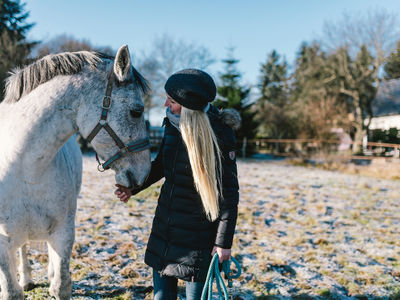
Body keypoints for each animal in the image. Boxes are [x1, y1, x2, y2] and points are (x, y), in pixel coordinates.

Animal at [0, 45, 152, 300]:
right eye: (137, 111)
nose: (144, 173)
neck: (24, 168)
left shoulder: (63, 232)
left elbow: (61, 285)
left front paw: (54, 279)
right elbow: (11, 290)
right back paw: (27, 279)